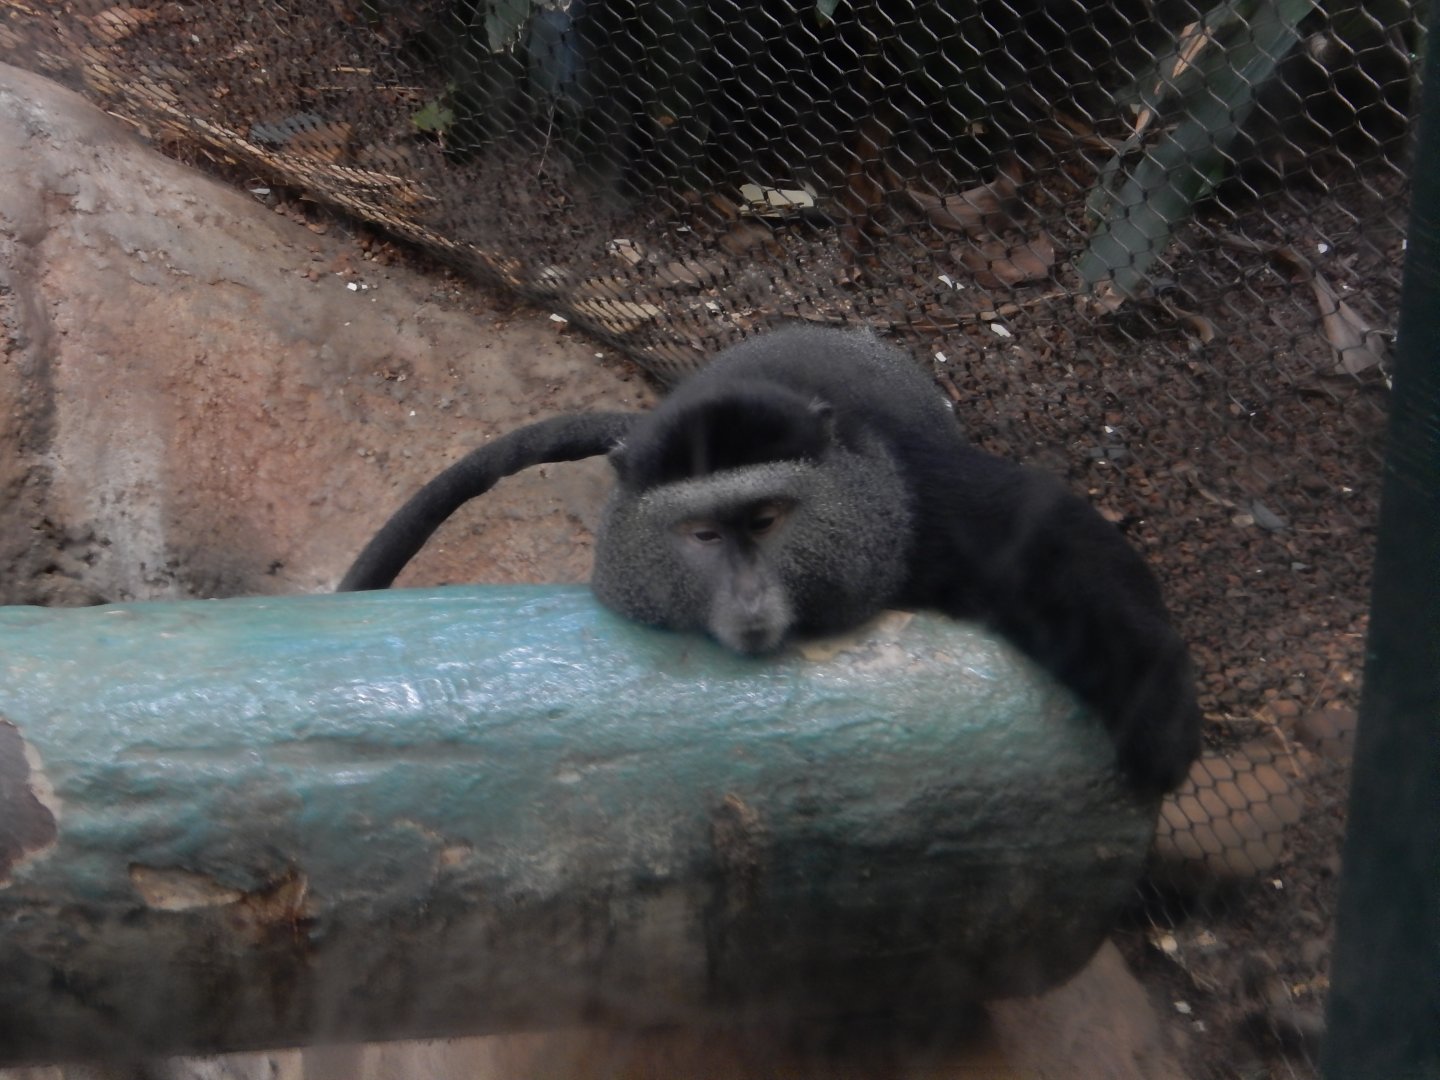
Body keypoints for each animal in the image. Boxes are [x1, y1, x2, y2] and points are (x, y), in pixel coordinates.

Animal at [339, 325, 1201, 794]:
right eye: (704, 537)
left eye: (764, 520)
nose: (749, 597)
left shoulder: (915, 495)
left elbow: (1054, 537)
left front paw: (1160, 728)